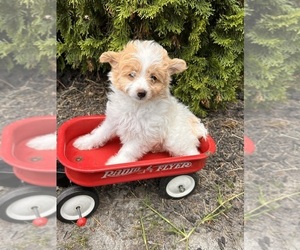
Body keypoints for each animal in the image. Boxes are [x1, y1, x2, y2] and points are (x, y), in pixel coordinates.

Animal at [74, 40, 207, 165]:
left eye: (153, 77)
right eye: (131, 74)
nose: (141, 93)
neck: (136, 106)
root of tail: (196, 125)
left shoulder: (143, 136)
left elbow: (128, 150)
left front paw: (117, 162)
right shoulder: (113, 121)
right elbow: (100, 133)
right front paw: (86, 142)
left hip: (176, 140)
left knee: (192, 151)